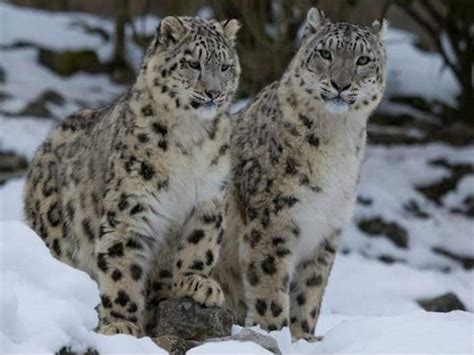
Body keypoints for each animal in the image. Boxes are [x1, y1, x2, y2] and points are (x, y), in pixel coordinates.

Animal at [22, 16, 241, 340]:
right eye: (193, 63)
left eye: (225, 66)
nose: (213, 92)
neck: (191, 139)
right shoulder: (132, 206)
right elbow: (122, 265)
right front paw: (119, 323)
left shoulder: (207, 200)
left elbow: (198, 245)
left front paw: (196, 282)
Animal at [214, 8, 386, 342]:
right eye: (325, 53)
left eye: (363, 59)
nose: (340, 83)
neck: (338, 139)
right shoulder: (273, 217)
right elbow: (269, 282)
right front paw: (272, 331)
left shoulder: (328, 228)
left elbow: (310, 291)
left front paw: (304, 338)